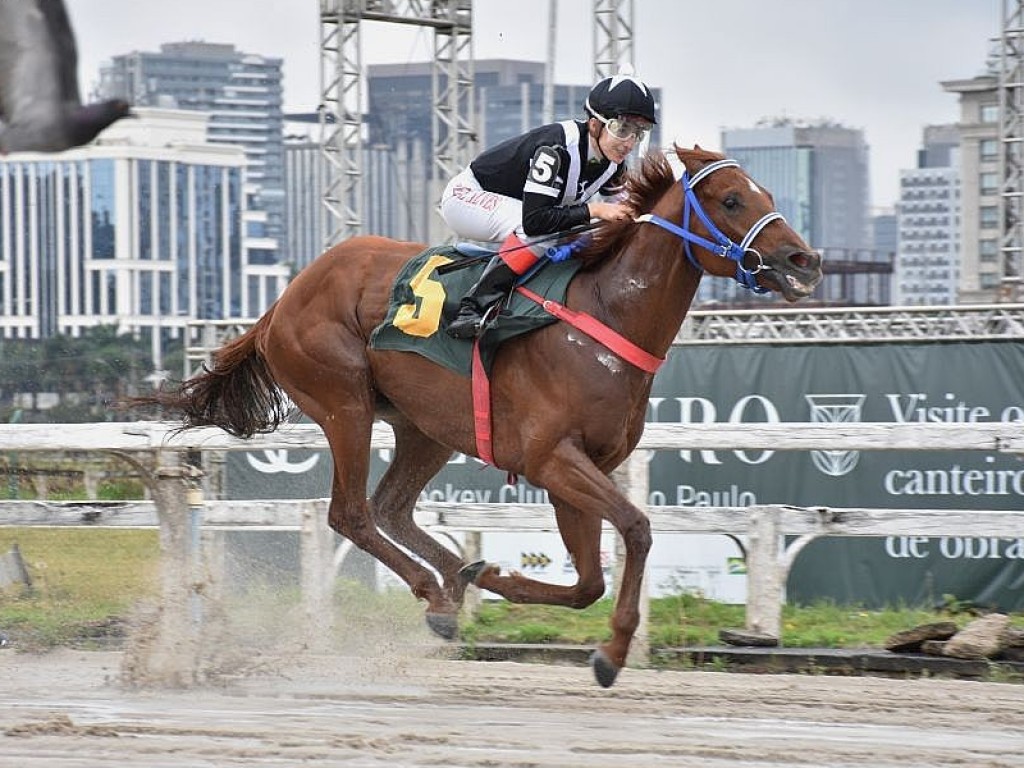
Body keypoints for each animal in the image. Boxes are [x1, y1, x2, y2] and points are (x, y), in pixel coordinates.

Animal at [138, 147, 823, 688]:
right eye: (731, 199)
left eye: (764, 194)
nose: (804, 261)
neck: (604, 314)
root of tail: (282, 301)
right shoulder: (552, 459)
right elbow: (636, 528)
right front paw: (612, 649)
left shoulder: (576, 469)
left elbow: (588, 582)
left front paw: (500, 578)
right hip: (343, 402)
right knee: (350, 513)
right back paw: (436, 596)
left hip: (424, 427)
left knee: (391, 509)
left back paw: (454, 578)